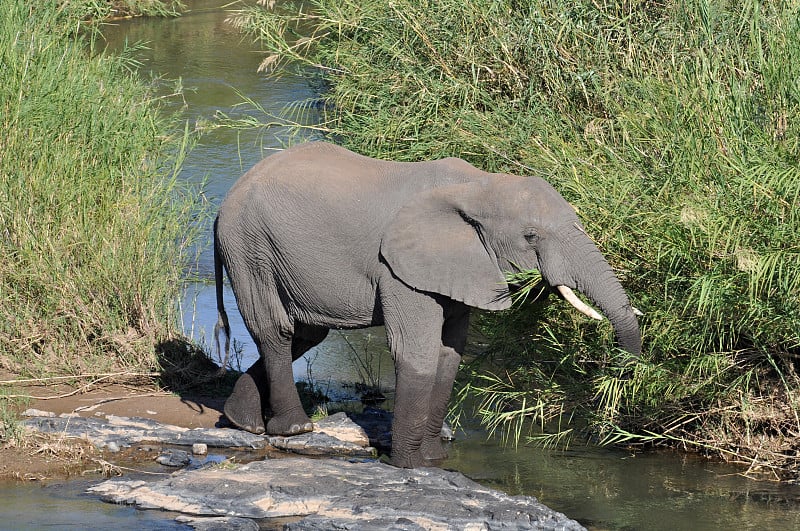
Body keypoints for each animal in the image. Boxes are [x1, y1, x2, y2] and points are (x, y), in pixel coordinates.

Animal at [214, 142, 644, 470]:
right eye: (530, 236)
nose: (624, 376)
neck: (480, 184)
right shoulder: (398, 269)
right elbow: (417, 352)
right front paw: (412, 466)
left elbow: (449, 354)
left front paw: (435, 459)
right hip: (249, 247)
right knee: (277, 330)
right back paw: (295, 430)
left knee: (307, 333)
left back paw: (242, 422)